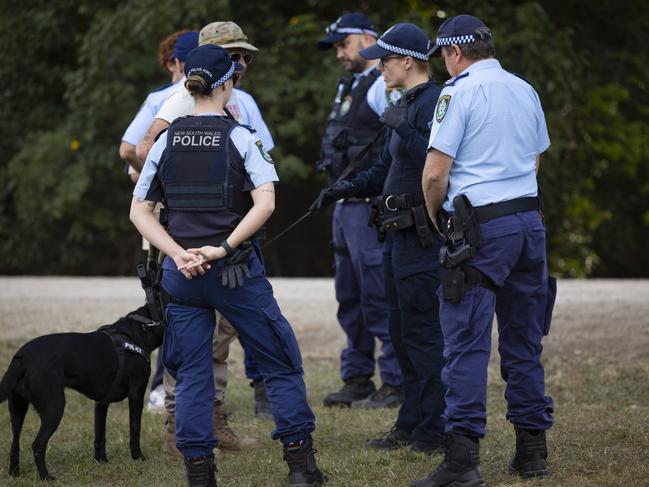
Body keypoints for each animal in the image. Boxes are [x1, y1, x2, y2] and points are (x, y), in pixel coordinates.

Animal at [0, 304, 165, 480]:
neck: (142, 327)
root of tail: (21, 357)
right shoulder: (136, 393)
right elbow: (135, 429)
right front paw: (138, 457)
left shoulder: (101, 402)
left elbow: (100, 435)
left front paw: (101, 461)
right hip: (54, 409)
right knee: (37, 445)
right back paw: (46, 477)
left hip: (17, 408)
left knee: (15, 444)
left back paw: (14, 474)